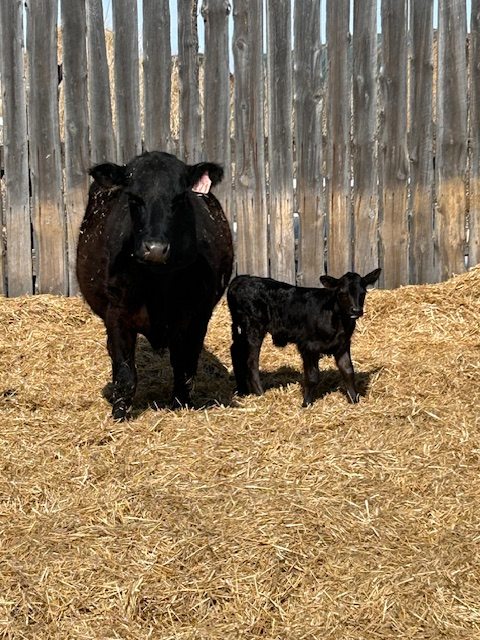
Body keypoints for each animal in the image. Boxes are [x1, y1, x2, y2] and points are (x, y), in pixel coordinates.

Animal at [76, 150, 234, 420]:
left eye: (180, 197)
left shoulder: (198, 316)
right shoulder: (116, 314)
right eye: (133, 197)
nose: (155, 249)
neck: (159, 282)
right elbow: (125, 372)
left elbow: (185, 367)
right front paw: (119, 414)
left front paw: (181, 404)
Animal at [227, 269, 381, 407]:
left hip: (240, 329)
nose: (356, 310)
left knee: (236, 352)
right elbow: (312, 376)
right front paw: (306, 403)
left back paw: (242, 391)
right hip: (253, 328)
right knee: (251, 362)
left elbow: (348, 371)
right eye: (342, 293)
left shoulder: (342, 344)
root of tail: (242, 279)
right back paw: (260, 394)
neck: (337, 321)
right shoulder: (308, 345)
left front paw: (355, 401)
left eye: (363, 293)